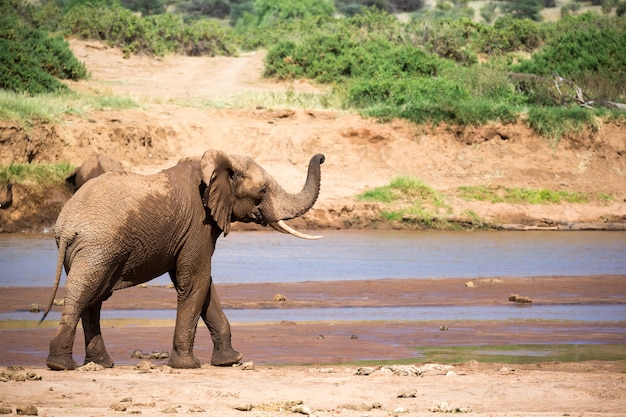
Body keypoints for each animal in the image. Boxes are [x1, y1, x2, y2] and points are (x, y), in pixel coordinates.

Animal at [39, 150, 324, 370]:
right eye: (263, 190)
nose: (321, 157)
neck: (215, 161)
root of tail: (67, 225)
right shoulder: (199, 224)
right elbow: (195, 280)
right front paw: (188, 365)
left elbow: (201, 285)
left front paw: (230, 361)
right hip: (99, 246)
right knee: (84, 294)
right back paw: (61, 365)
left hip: (89, 250)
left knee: (93, 297)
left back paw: (97, 364)